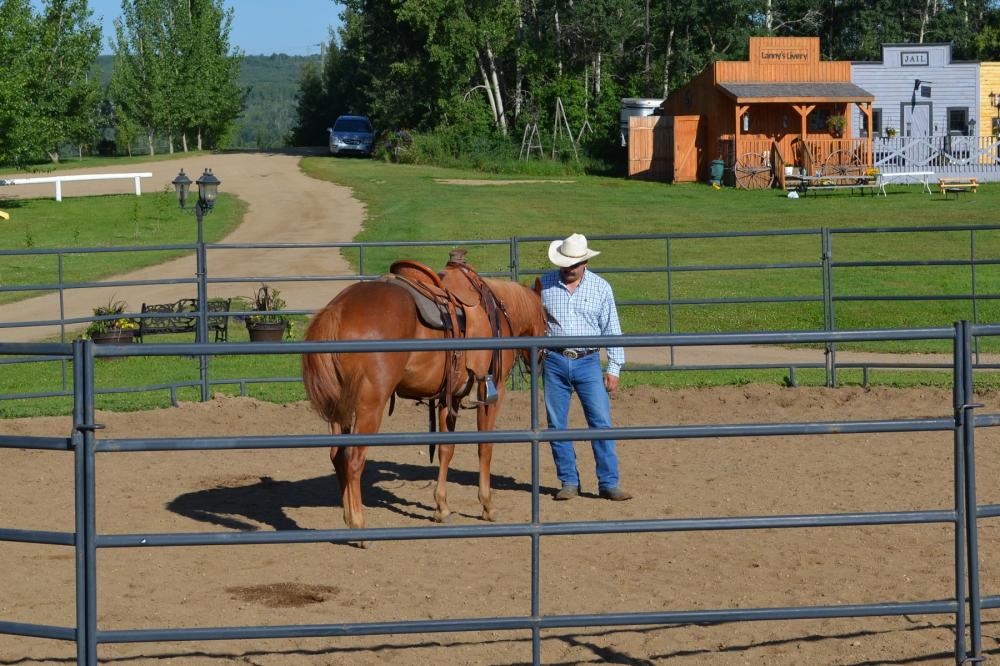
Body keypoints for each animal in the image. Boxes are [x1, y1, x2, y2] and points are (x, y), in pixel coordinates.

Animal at [300, 260, 548, 536]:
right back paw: (359, 525)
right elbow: (485, 447)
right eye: (547, 317)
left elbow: (446, 449)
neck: (499, 313)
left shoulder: (448, 397)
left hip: (339, 408)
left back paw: (347, 518)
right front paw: (488, 506)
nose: (540, 361)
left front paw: (442, 507)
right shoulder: (493, 392)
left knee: (337, 456)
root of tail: (339, 309)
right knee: (353, 459)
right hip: (369, 406)